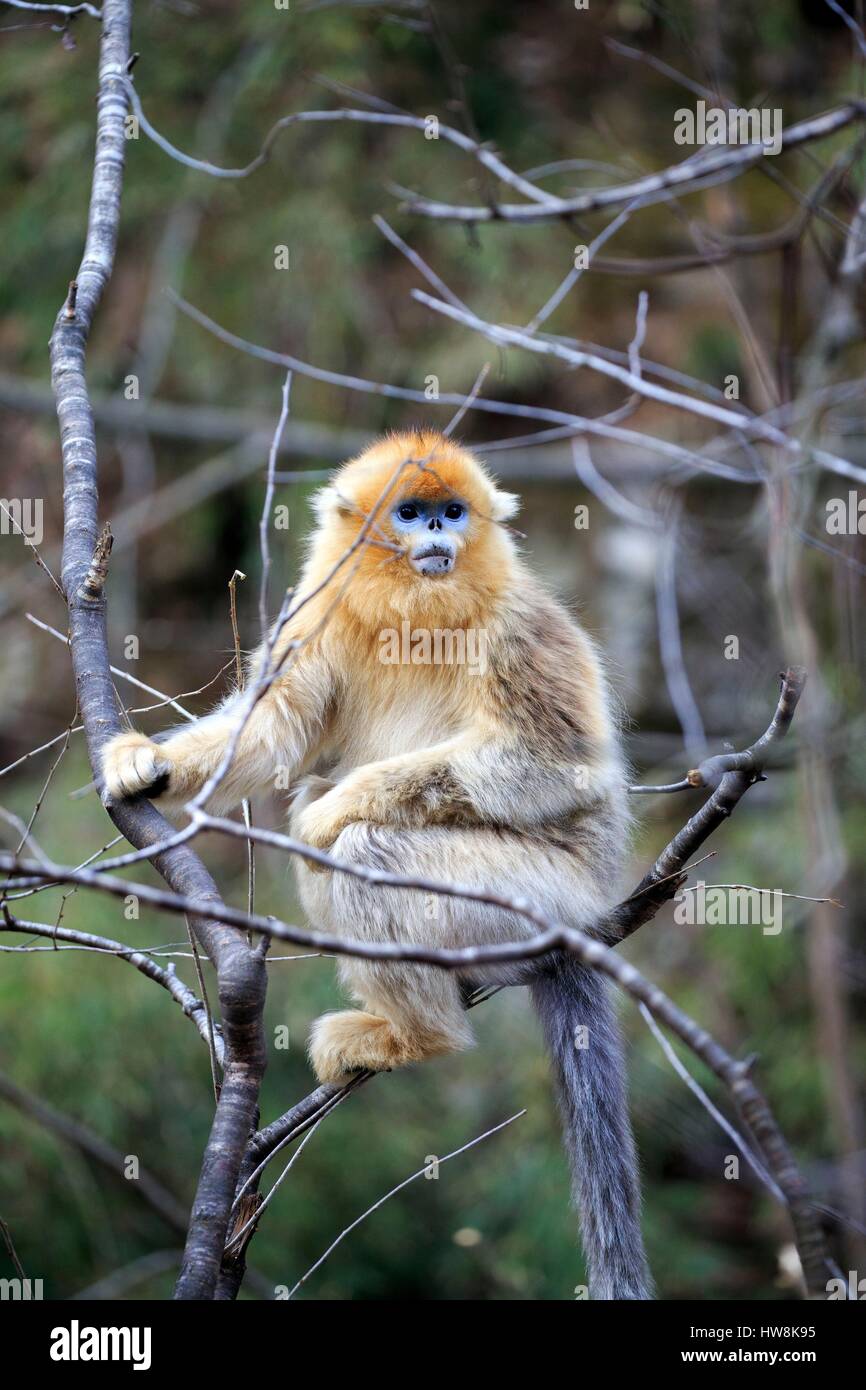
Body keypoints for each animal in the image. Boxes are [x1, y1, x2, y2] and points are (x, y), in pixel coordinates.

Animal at [102, 429, 652, 1300]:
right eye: (412, 512)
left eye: (453, 511)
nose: (438, 536)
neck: (418, 609)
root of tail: (590, 913)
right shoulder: (316, 612)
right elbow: (271, 734)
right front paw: (147, 763)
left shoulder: (521, 625)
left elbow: (545, 764)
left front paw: (333, 810)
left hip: (537, 894)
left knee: (365, 846)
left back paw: (418, 1035)